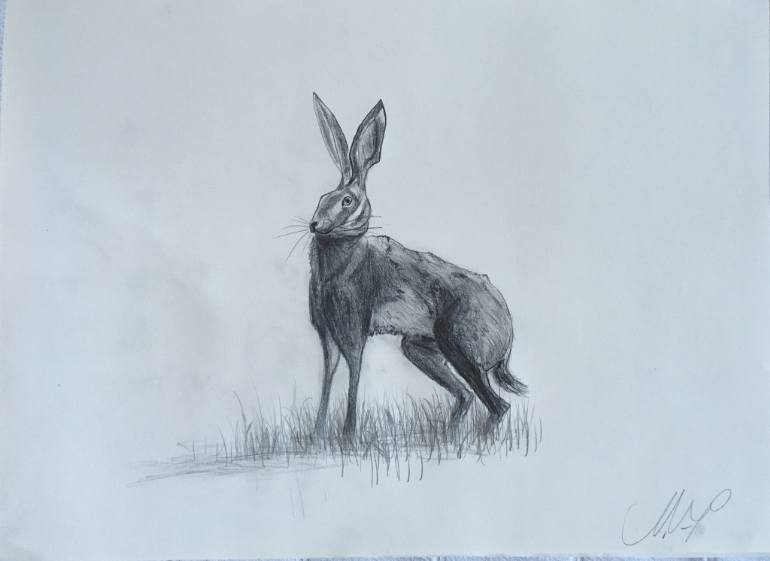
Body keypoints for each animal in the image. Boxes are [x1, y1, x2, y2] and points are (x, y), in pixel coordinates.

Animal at [308, 93, 527, 439]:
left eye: (347, 201)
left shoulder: (353, 327)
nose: (314, 225)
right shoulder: (326, 333)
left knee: (496, 404)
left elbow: (354, 372)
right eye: (321, 197)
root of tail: (507, 328)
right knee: (466, 396)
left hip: (459, 348)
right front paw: (317, 436)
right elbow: (328, 376)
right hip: (420, 348)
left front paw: (347, 436)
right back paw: (450, 437)